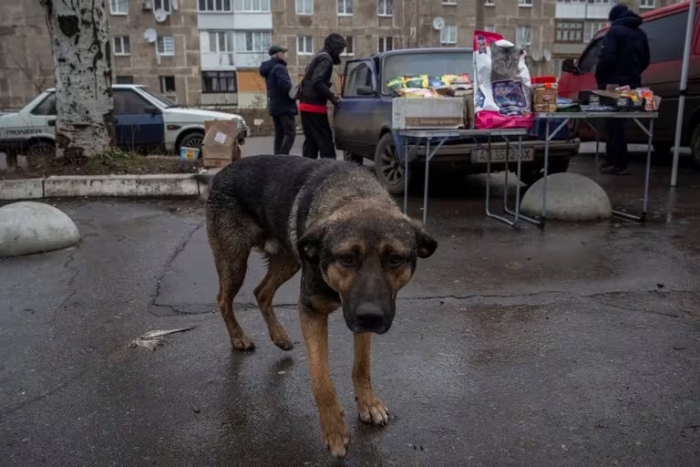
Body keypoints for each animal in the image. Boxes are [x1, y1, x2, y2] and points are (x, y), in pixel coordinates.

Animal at [202, 155, 440, 458]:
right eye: (347, 258)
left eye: (395, 259)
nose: (371, 318)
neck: (353, 194)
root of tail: (224, 170)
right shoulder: (312, 311)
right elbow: (321, 378)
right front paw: (335, 431)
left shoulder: (361, 317)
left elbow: (361, 366)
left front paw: (368, 403)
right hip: (235, 262)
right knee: (224, 299)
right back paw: (238, 338)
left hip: (289, 260)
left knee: (261, 292)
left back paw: (278, 336)